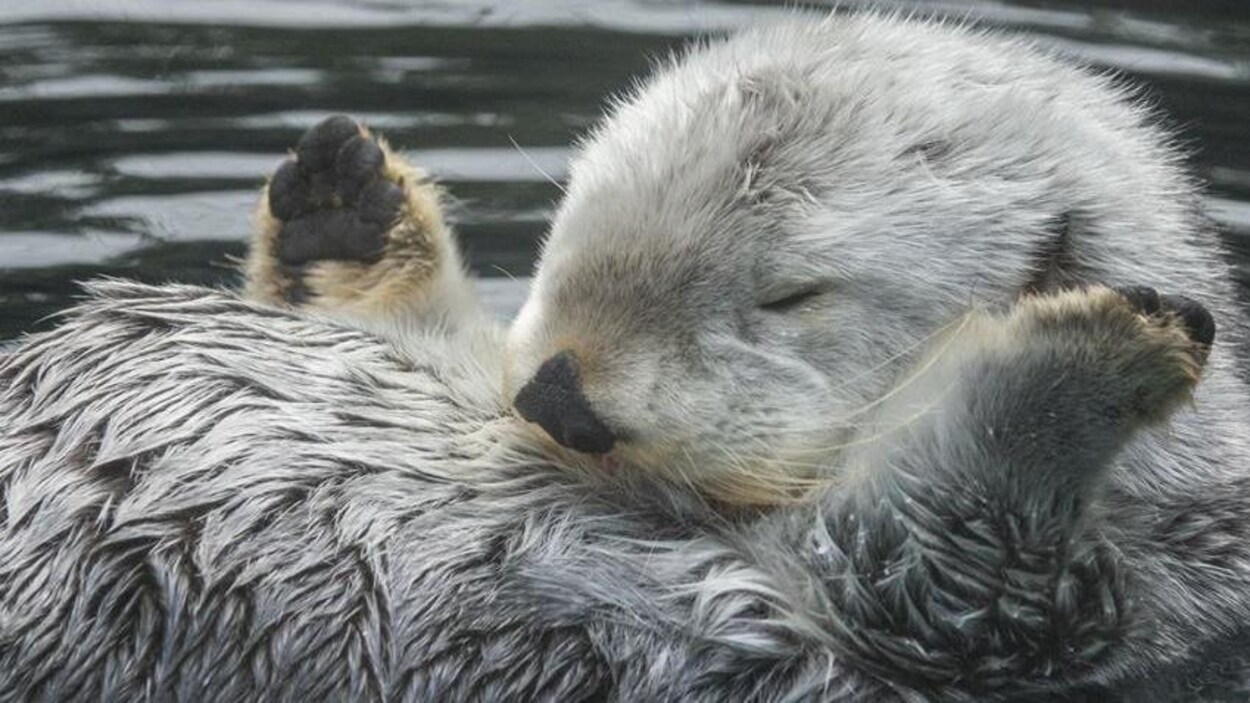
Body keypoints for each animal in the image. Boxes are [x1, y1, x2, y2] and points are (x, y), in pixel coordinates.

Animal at [2, 12, 1250, 700]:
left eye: (789, 297)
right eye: (570, 228)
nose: (562, 396)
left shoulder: (1032, 617)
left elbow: (950, 536)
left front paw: (1096, 345)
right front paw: (345, 218)